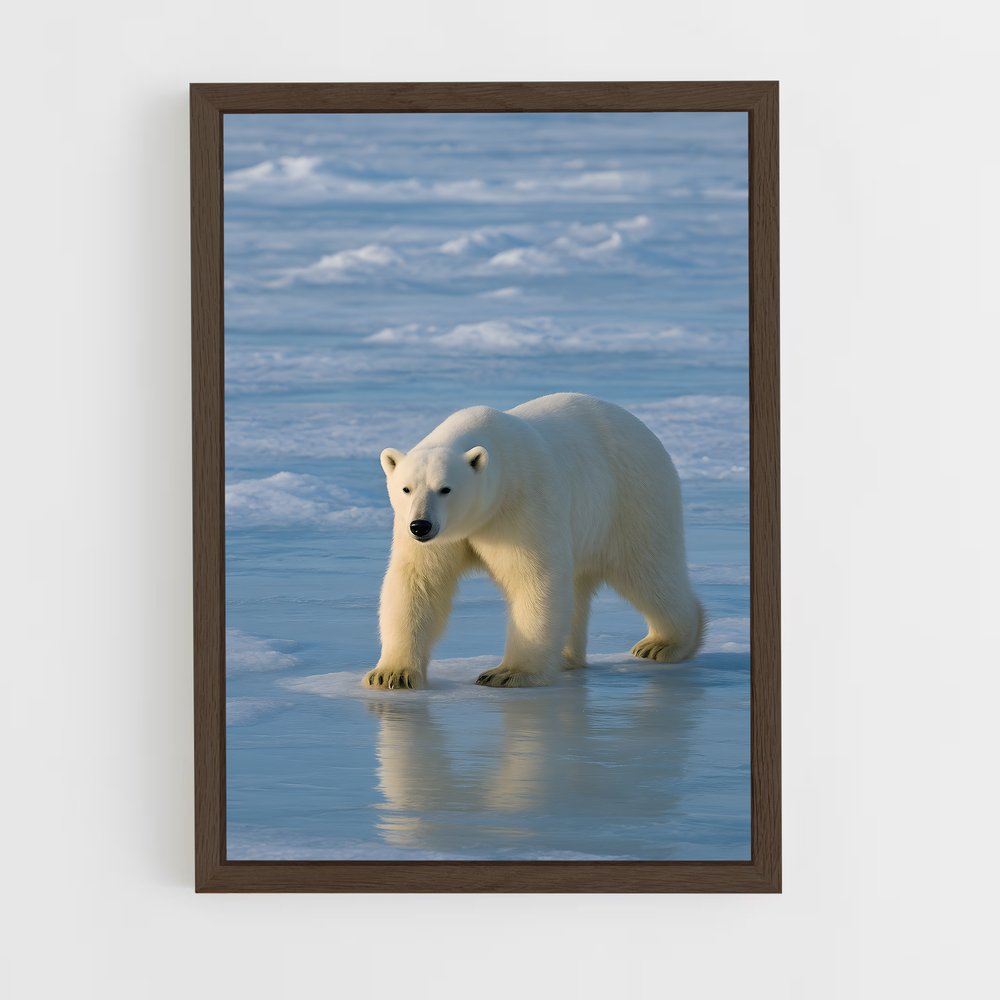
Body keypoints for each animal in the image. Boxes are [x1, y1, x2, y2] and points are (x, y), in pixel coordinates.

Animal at [363, 392, 704, 690]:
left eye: (445, 488)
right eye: (406, 488)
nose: (421, 526)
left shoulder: (522, 505)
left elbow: (533, 579)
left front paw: (508, 673)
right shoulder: (433, 536)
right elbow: (418, 583)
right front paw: (391, 675)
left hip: (632, 498)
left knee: (648, 571)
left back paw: (663, 643)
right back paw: (566, 657)